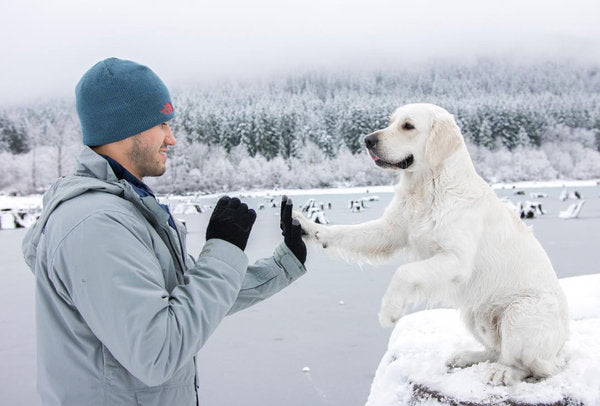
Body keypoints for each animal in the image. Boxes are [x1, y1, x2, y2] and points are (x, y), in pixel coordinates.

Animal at [298, 103, 568, 386]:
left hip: (520, 314)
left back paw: (504, 372)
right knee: (498, 351)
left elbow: (404, 272)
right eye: (390, 121)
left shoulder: (456, 260)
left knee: (533, 367)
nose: (368, 140)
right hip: (476, 314)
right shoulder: (389, 231)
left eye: (408, 126)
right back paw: (466, 356)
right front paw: (307, 227)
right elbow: (345, 232)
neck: (427, 187)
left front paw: (390, 311)